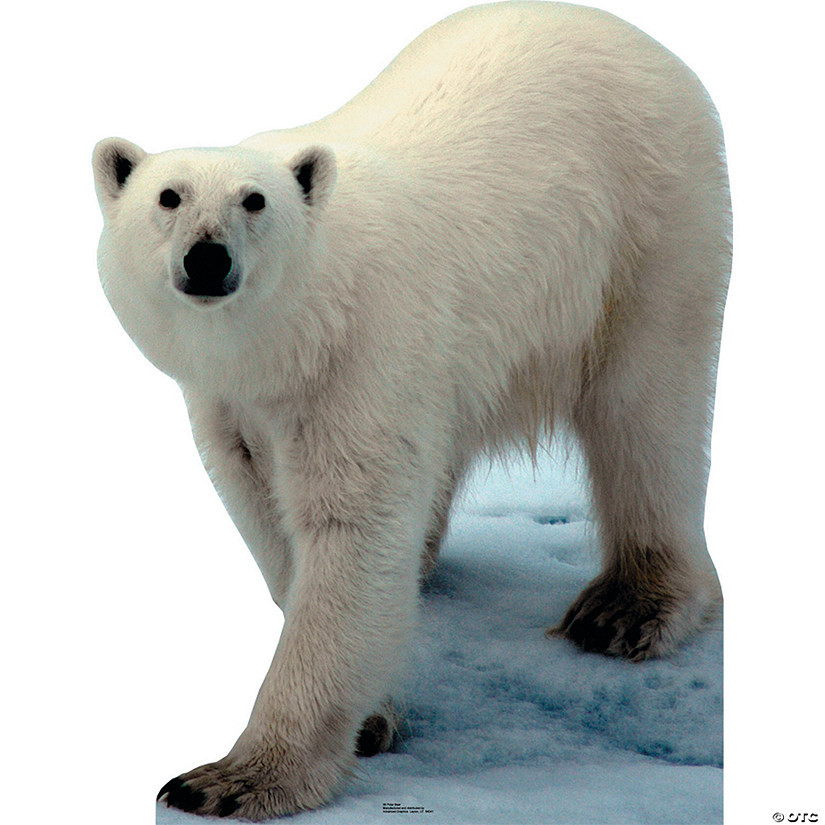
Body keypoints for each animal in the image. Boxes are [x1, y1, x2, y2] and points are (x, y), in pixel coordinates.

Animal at [92, 1, 731, 819]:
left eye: (254, 200)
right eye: (167, 196)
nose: (208, 258)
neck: (294, 338)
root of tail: (637, 38)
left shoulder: (363, 354)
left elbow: (351, 531)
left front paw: (230, 778)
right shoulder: (230, 402)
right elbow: (272, 516)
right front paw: (370, 712)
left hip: (651, 223)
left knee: (645, 410)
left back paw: (626, 607)